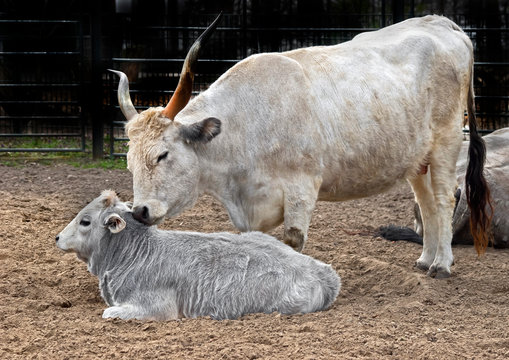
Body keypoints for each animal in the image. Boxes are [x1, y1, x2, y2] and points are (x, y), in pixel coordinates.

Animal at [112, 14, 492, 278]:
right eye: (129, 162)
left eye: (162, 154)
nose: (139, 211)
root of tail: (442, 23)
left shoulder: (302, 187)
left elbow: (293, 239)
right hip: (416, 157)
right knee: (426, 203)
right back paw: (426, 258)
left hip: (446, 141)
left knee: (443, 199)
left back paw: (441, 264)